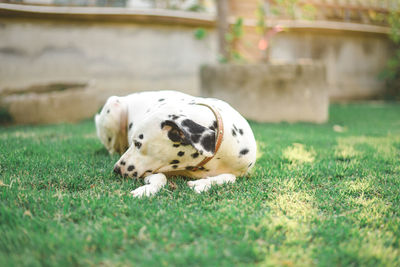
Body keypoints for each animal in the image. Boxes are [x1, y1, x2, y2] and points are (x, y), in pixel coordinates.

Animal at [95, 91, 256, 198]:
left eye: (138, 143)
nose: (116, 169)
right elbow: (160, 178)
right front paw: (146, 190)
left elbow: (230, 177)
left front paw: (204, 184)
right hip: (113, 107)